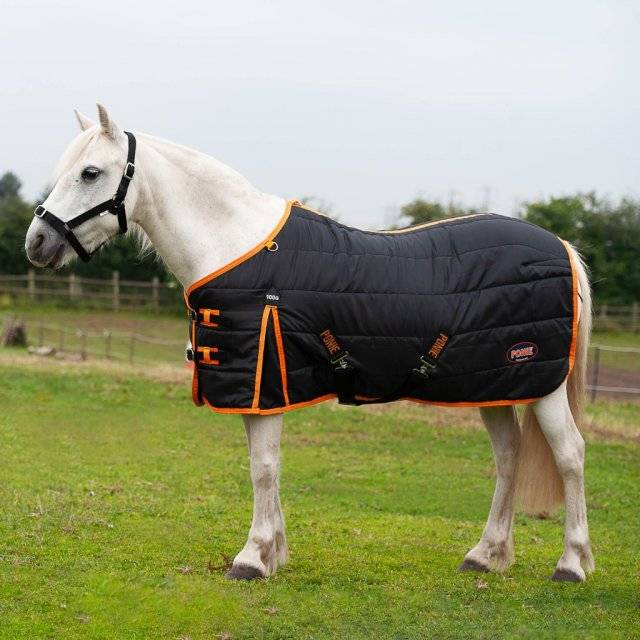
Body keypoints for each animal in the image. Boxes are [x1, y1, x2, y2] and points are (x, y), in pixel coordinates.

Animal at [25, 104, 594, 582]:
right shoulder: (263, 388)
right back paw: (485, 555)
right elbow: (267, 468)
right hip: (495, 385)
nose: (37, 243)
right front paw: (273, 552)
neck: (235, 247)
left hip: (543, 386)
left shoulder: (263, 380)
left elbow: (262, 468)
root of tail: (560, 245)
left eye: (90, 173)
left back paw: (571, 564)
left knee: (569, 455)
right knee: (509, 457)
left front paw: (252, 558)